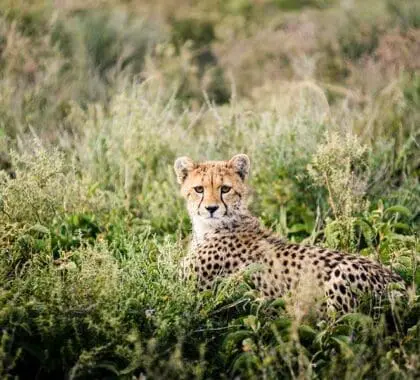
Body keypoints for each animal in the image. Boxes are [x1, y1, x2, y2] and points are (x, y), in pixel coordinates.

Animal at [173, 153, 404, 314]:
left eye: (225, 189)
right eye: (199, 189)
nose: (211, 209)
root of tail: (400, 283)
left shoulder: (190, 287)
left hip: (341, 275)